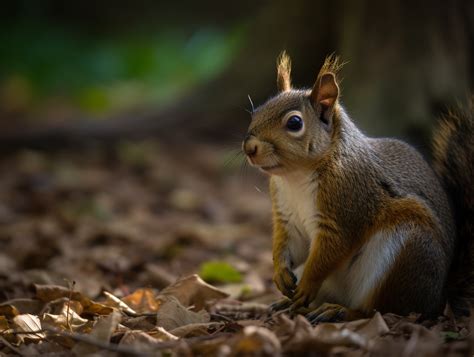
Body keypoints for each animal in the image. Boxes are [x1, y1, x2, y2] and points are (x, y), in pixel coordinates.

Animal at [244, 51, 474, 322]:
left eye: (294, 123)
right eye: (256, 112)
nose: (249, 148)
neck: (296, 177)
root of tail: (440, 295)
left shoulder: (347, 207)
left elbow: (329, 253)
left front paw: (307, 284)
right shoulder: (287, 216)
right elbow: (288, 245)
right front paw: (280, 274)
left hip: (404, 254)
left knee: (379, 309)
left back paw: (338, 311)